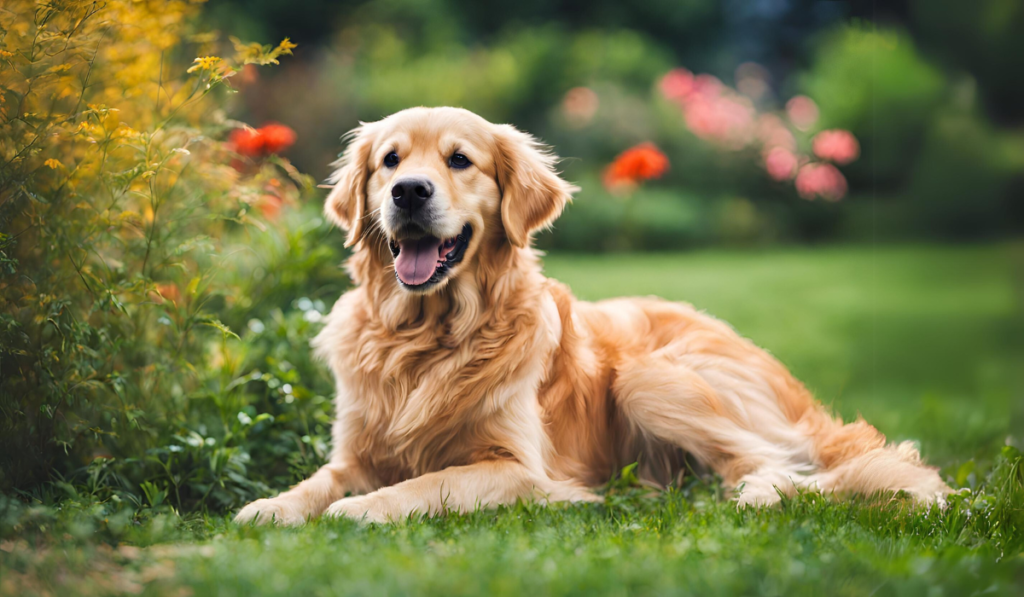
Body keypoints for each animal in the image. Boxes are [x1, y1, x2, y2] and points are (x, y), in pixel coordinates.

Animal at [234, 108, 950, 528]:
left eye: (460, 160)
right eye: (390, 161)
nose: (410, 191)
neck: (427, 337)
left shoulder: (518, 468)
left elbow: (422, 486)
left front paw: (358, 510)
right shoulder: (356, 450)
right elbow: (317, 482)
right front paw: (271, 505)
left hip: (648, 377)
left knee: (782, 465)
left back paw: (755, 496)